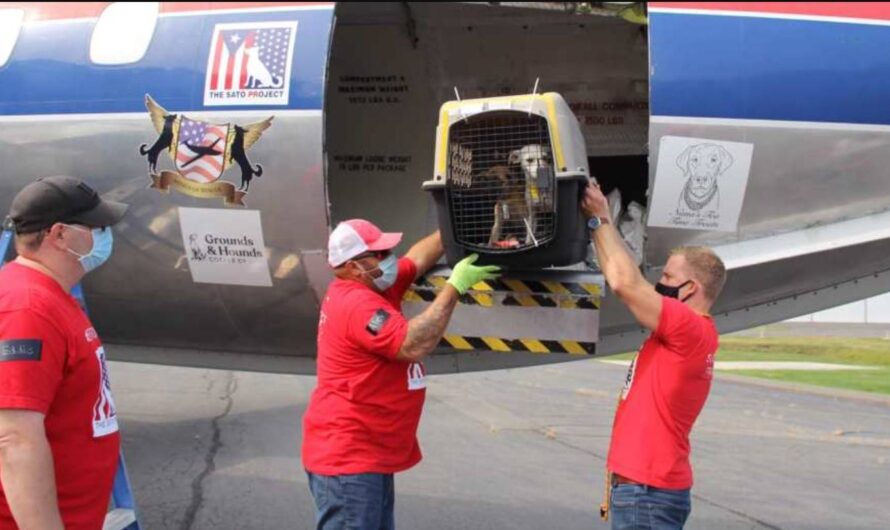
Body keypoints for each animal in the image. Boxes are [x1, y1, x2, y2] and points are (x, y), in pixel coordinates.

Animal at [444, 111, 556, 250]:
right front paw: (490, 245)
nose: (479, 178)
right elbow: (495, 237)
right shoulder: (505, 221)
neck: (506, 199)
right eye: (529, 160)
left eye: (546, 159)